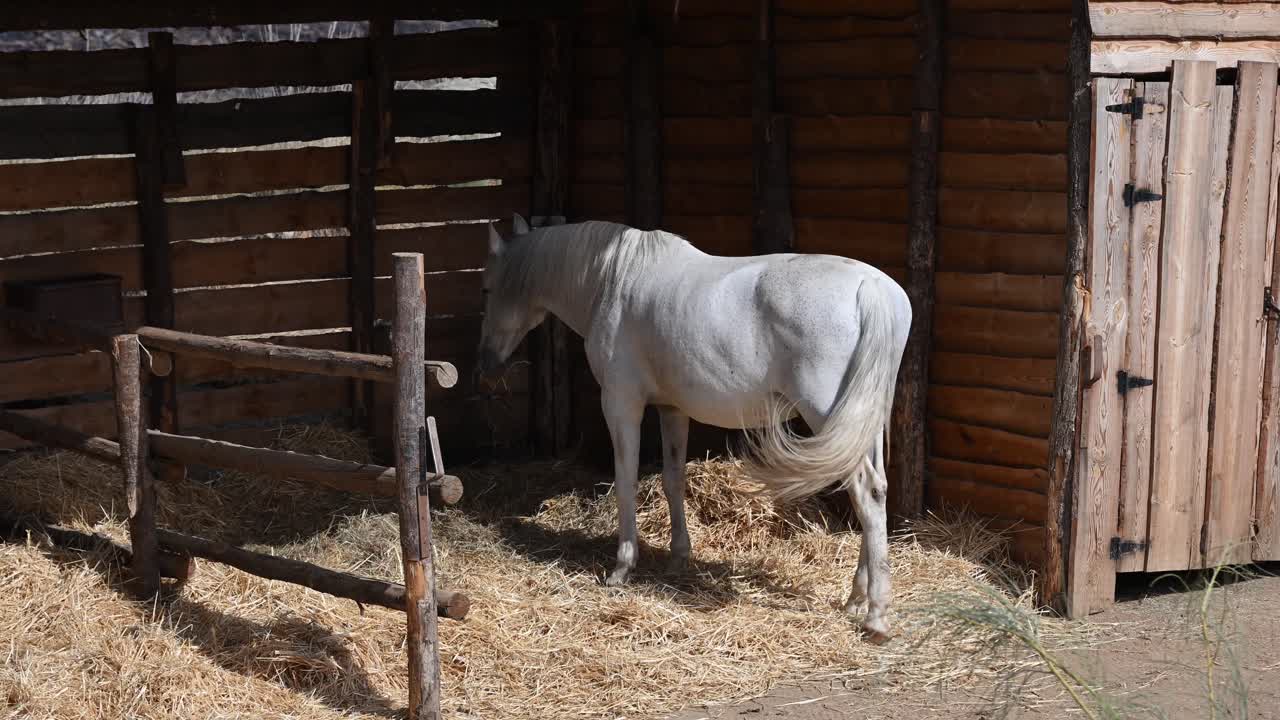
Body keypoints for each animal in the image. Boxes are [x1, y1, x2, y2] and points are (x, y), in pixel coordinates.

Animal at [476, 214, 912, 642]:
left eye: (487, 288)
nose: (486, 360)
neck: (612, 279)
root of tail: (871, 289)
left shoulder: (621, 403)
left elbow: (625, 480)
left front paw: (621, 568)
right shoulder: (672, 410)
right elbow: (673, 480)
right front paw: (678, 557)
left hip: (828, 415)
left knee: (866, 492)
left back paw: (875, 617)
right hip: (860, 422)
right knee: (877, 489)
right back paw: (856, 600)